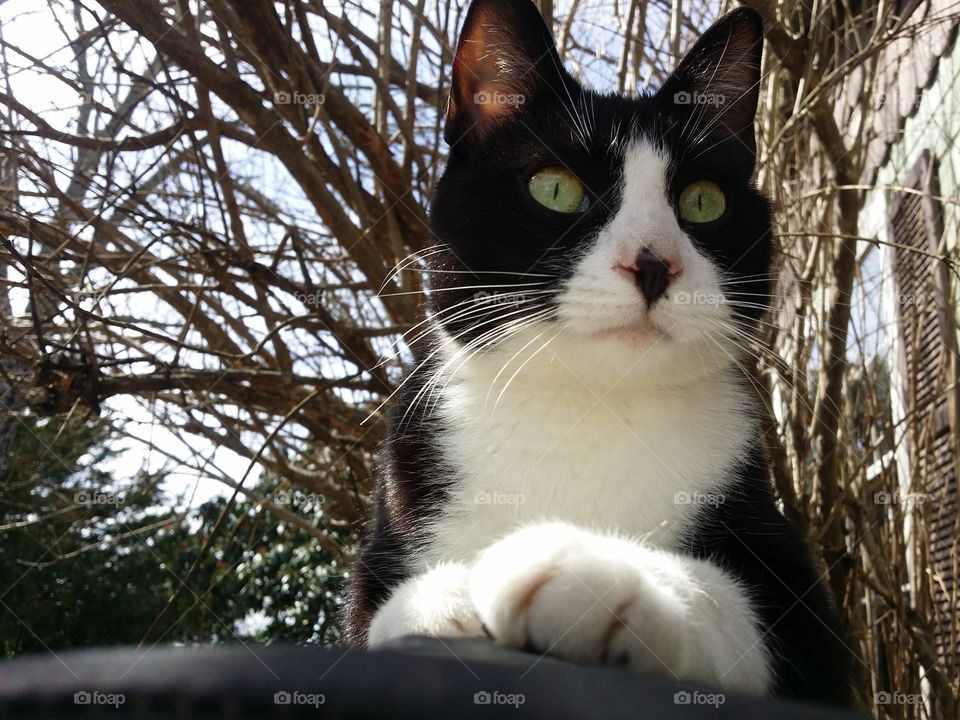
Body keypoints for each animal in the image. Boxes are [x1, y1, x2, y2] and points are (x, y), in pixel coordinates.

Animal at [342, 0, 852, 708]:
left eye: (703, 201)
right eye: (554, 189)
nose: (654, 264)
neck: (589, 408)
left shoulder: (804, 604)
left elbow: (742, 605)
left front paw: (590, 568)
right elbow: (374, 614)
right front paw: (444, 599)